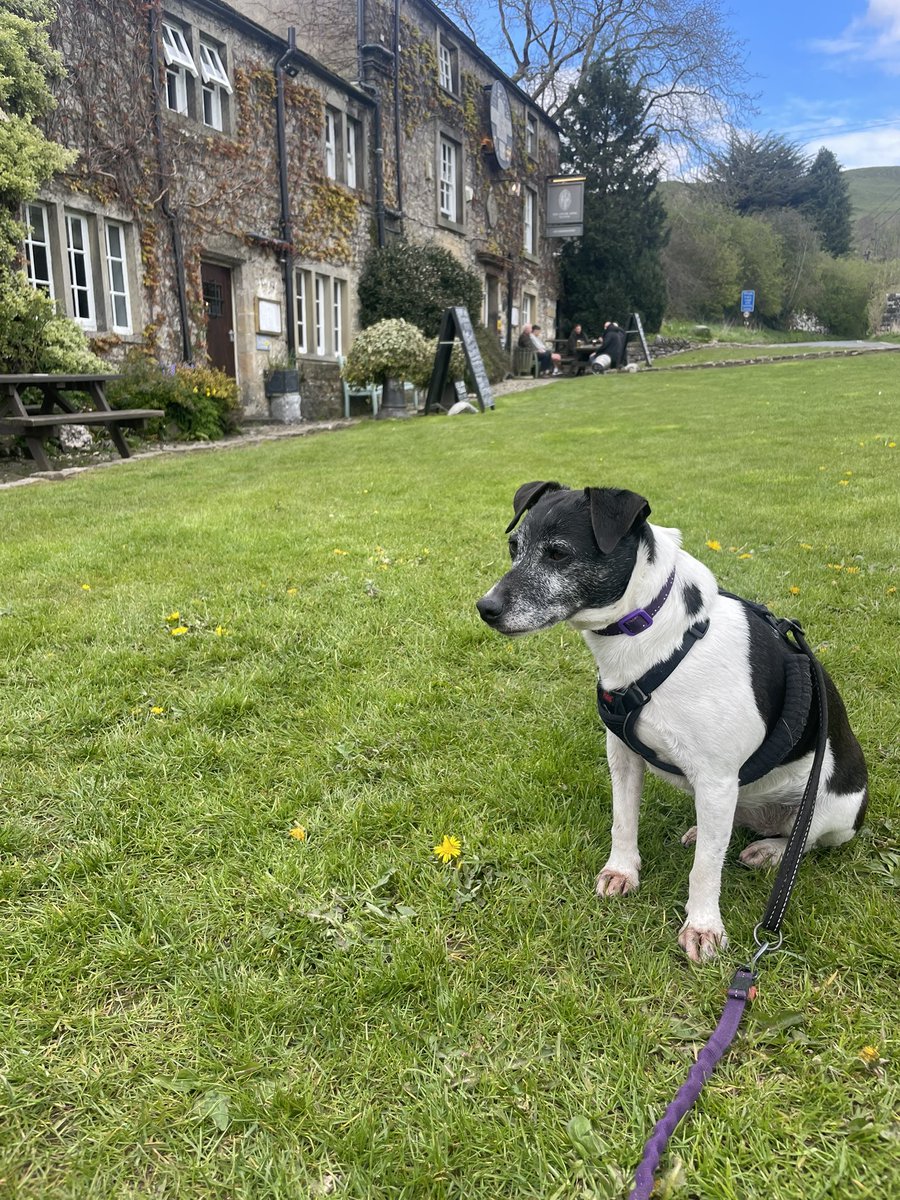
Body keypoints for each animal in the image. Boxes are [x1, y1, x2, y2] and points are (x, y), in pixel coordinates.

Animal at [475, 482, 868, 960]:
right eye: (514, 548)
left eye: (558, 554)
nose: (485, 607)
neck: (654, 630)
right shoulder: (624, 756)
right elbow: (623, 821)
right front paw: (622, 871)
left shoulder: (717, 778)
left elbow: (705, 870)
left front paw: (702, 925)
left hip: (833, 808)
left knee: (802, 840)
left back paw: (772, 851)